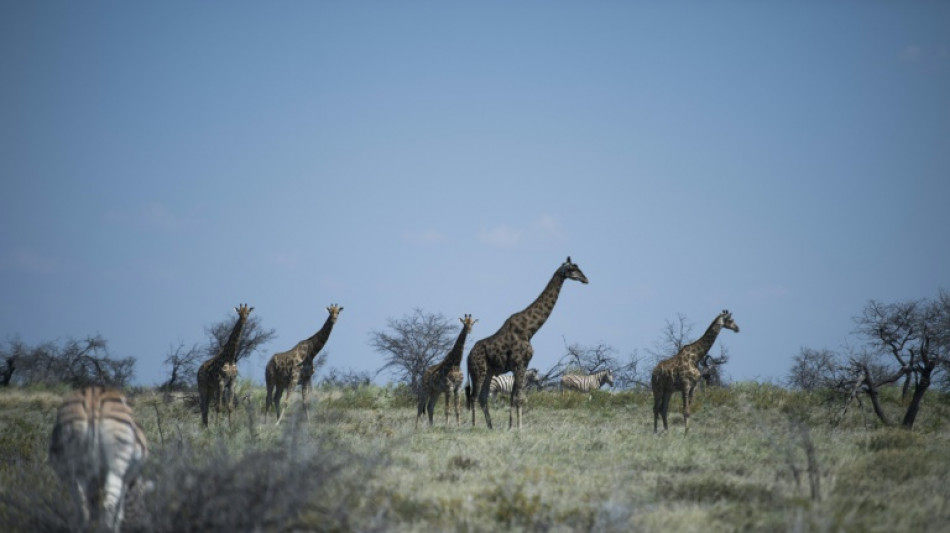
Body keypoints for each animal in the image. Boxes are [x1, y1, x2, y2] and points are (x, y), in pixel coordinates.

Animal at [48, 386, 149, 532]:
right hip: (116, 468)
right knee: (109, 505)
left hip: (76, 469)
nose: (143, 525)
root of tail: (93, 395)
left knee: (83, 508)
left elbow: (94, 508)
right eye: (142, 503)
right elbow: (119, 513)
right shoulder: (126, 480)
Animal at [466, 256, 588, 428]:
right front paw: (520, 427)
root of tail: (467, 356)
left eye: (578, 267)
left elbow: (513, 398)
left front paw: (511, 426)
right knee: (474, 397)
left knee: (482, 397)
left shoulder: (521, 365)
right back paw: (474, 426)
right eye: (572, 269)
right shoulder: (520, 364)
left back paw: (490, 426)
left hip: (488, 371)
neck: (529, 331)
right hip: (478, 371)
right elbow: (519, 398)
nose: (585, 279)